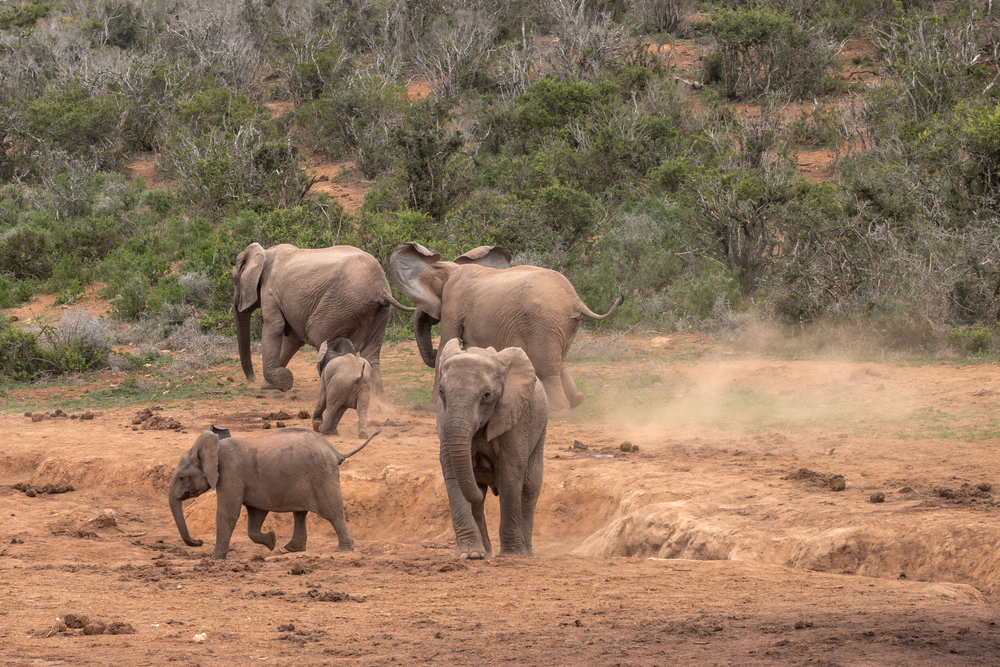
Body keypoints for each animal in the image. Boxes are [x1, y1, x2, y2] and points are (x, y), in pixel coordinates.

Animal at [232, 243, 412, 394]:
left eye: (234, 279)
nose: (251, 380)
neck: (266, 253)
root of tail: (381, 289)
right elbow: (293, 340)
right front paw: (269, 385)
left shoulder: (270, 292)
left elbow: (275, 327)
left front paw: (283, 381)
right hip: (379, 313)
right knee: (371, 353)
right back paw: (377, 400)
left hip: (340, 304)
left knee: (320, 337)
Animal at [390, 243, 624, 414]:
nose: (431, 349)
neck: (449, 269)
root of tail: (577, 300)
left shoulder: (453, 306)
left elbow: (446, 349)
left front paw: (427, 409)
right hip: (563, 325)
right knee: (559, 361)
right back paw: (576, 402)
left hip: (545, 322)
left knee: (546, 366)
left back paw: (559, 411)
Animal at [436, 340, 548, 560]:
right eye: (441, 393)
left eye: (486, 396)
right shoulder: (443, 417)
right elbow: (451, 469)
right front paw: (470, 555)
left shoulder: (515, 415)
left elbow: (510, 471)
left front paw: (512, 555)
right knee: (479, 500)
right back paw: (485, 552)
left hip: (540, 431)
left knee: (530, 489)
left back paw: (527, 554)